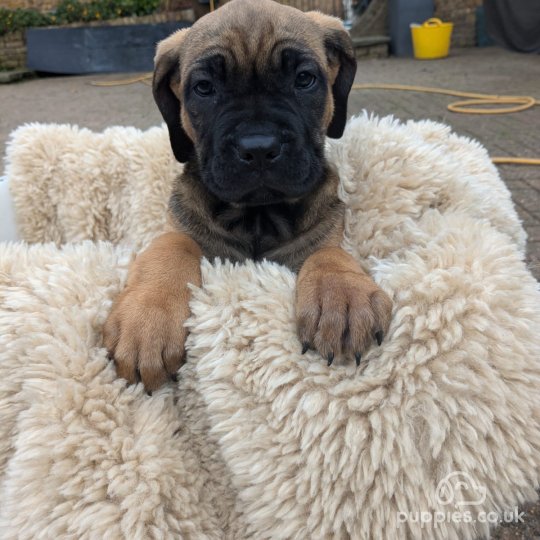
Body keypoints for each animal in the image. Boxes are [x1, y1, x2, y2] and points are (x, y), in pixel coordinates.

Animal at [104, 0, 392, 390]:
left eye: (304, 79)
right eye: (204, 87)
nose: (258, 147)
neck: (258, 217)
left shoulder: (326, 225)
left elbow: (328, 250)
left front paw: (342, 294)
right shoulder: (178, 225)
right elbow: (172, 245)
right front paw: (147, 319)